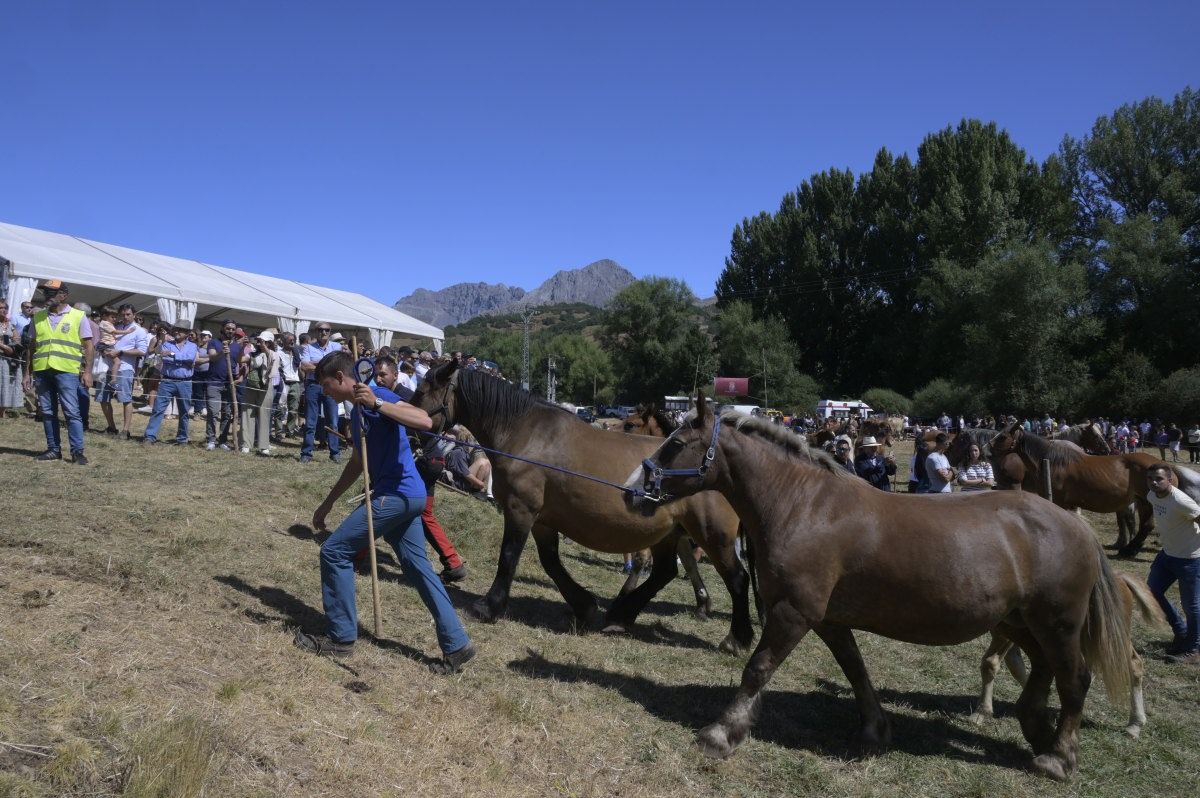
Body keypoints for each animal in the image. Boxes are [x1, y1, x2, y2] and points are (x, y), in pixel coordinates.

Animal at [408, 360, 753, 652]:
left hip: (713, 536)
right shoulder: (542, 520)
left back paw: (737, 638)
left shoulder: (521, 510)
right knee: (665, 571)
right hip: (669, 533)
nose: (410, 431)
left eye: (422, 391)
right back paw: (621, 615)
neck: (527, 434)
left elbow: (508, 557)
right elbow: (551, 563)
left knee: (738, 579)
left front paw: (488, 606)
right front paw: (584, 605)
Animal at [628, 400, 1132, 782]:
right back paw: (1038, 730)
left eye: (676, 444)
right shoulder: (828, 620)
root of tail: (1075, 526)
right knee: (1046, 670)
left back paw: (1058, 757)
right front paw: (875, 729)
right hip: (1021, 623)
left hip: (1057, 624)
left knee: (1075, 679)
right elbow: (856, 670)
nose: (633, 491)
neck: (803, 506)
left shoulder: (793, 613)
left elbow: (758, 669)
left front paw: (721, 733)